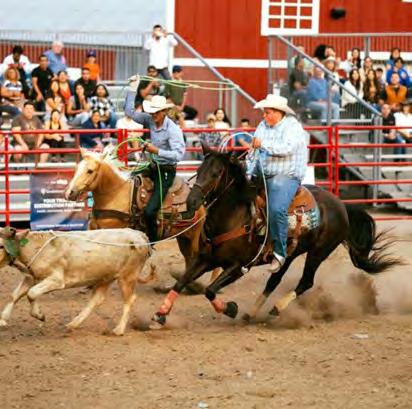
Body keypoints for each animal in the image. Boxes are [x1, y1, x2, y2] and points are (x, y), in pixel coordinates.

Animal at [0, 227, 152, 335]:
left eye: (1, 246)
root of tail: (139, 234)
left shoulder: (56, 280)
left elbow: (31, 293)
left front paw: (39, 315)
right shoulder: (31, 278)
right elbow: (15, 295)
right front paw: (3, 319)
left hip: (127, 276)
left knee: (129, 299)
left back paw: (119, 329)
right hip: (105, 276)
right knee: (97, 299)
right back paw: (73, 324)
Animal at [64, 149, 208, 283]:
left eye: (90, 171)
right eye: (76, 168)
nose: (69, 193)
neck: (115, 194)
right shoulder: (94, 229)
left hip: (194, 234)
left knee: (194, 256)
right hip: (182, 236)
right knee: (187, 257)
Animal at [151, 143, 401, 327]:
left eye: (216, 173)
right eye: (199, 170)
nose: (192, 201)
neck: (234, 215)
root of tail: (341, 205)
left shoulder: (237, 266)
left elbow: (210, 291)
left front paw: (230, 308)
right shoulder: (206, 259)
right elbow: (181, 281)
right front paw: (160, 314)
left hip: (318, 252)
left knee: (306, 281)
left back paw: (275, 309)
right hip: (289, 254)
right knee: (274, 279)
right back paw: (251, 314)